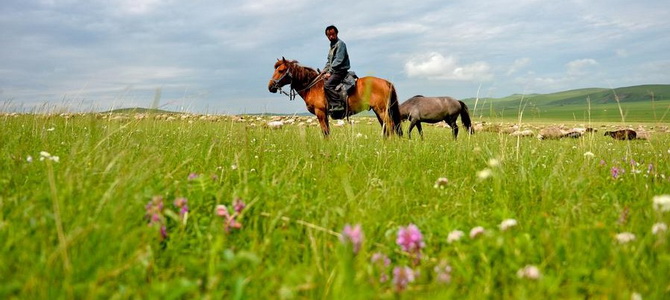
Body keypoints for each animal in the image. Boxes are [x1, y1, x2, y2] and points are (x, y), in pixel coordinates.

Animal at [268, 57, 404, 137]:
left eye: (280, 70)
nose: (270, 86)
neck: (313, 86)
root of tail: (386, 82)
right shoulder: (324, 114)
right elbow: (327, 132)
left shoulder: (320, 113)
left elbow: (325, 132)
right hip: (379, 111)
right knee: (386, 128)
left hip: (382, 110)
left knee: (390, 126)